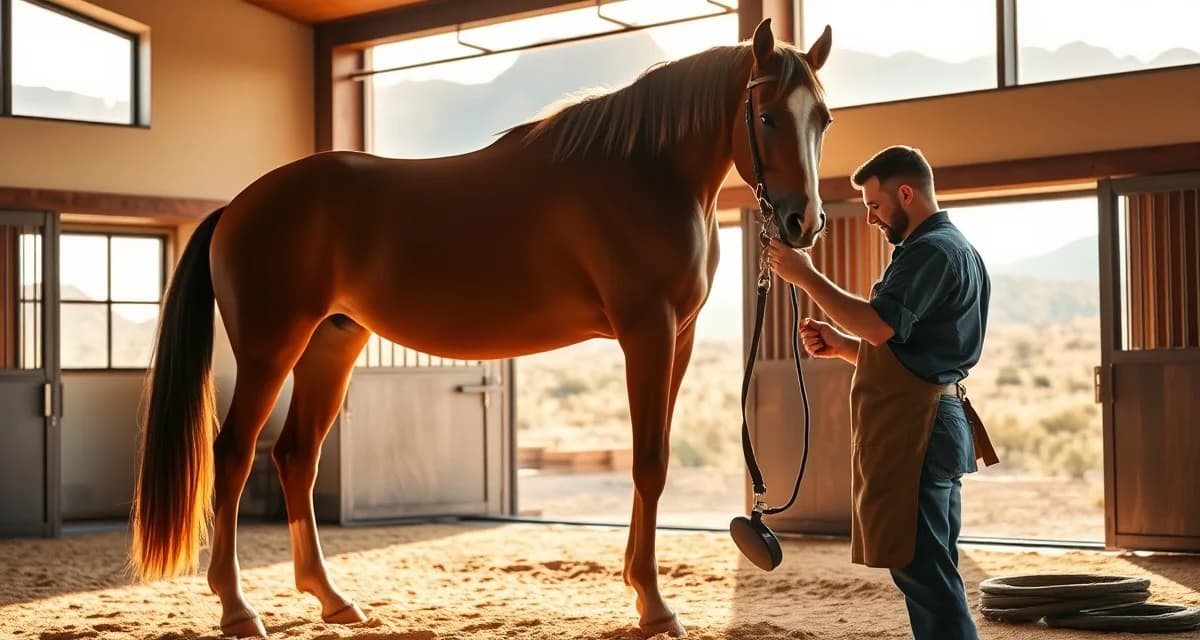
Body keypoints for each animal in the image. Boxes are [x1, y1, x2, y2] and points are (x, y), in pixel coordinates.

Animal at [130, 17, 834, 638]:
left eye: (822, 119)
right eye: (767, 116)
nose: (803, 223)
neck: (646, 173)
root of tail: (237, 207)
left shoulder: (677, 339)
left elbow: (650, 461)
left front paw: (642, 592)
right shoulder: (647, 333)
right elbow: (650, 464)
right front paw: (656, 608)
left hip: (331, 344)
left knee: (295, 456)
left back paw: (332, 601)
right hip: (270, 348)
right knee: (234, 454)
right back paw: (237, 611)